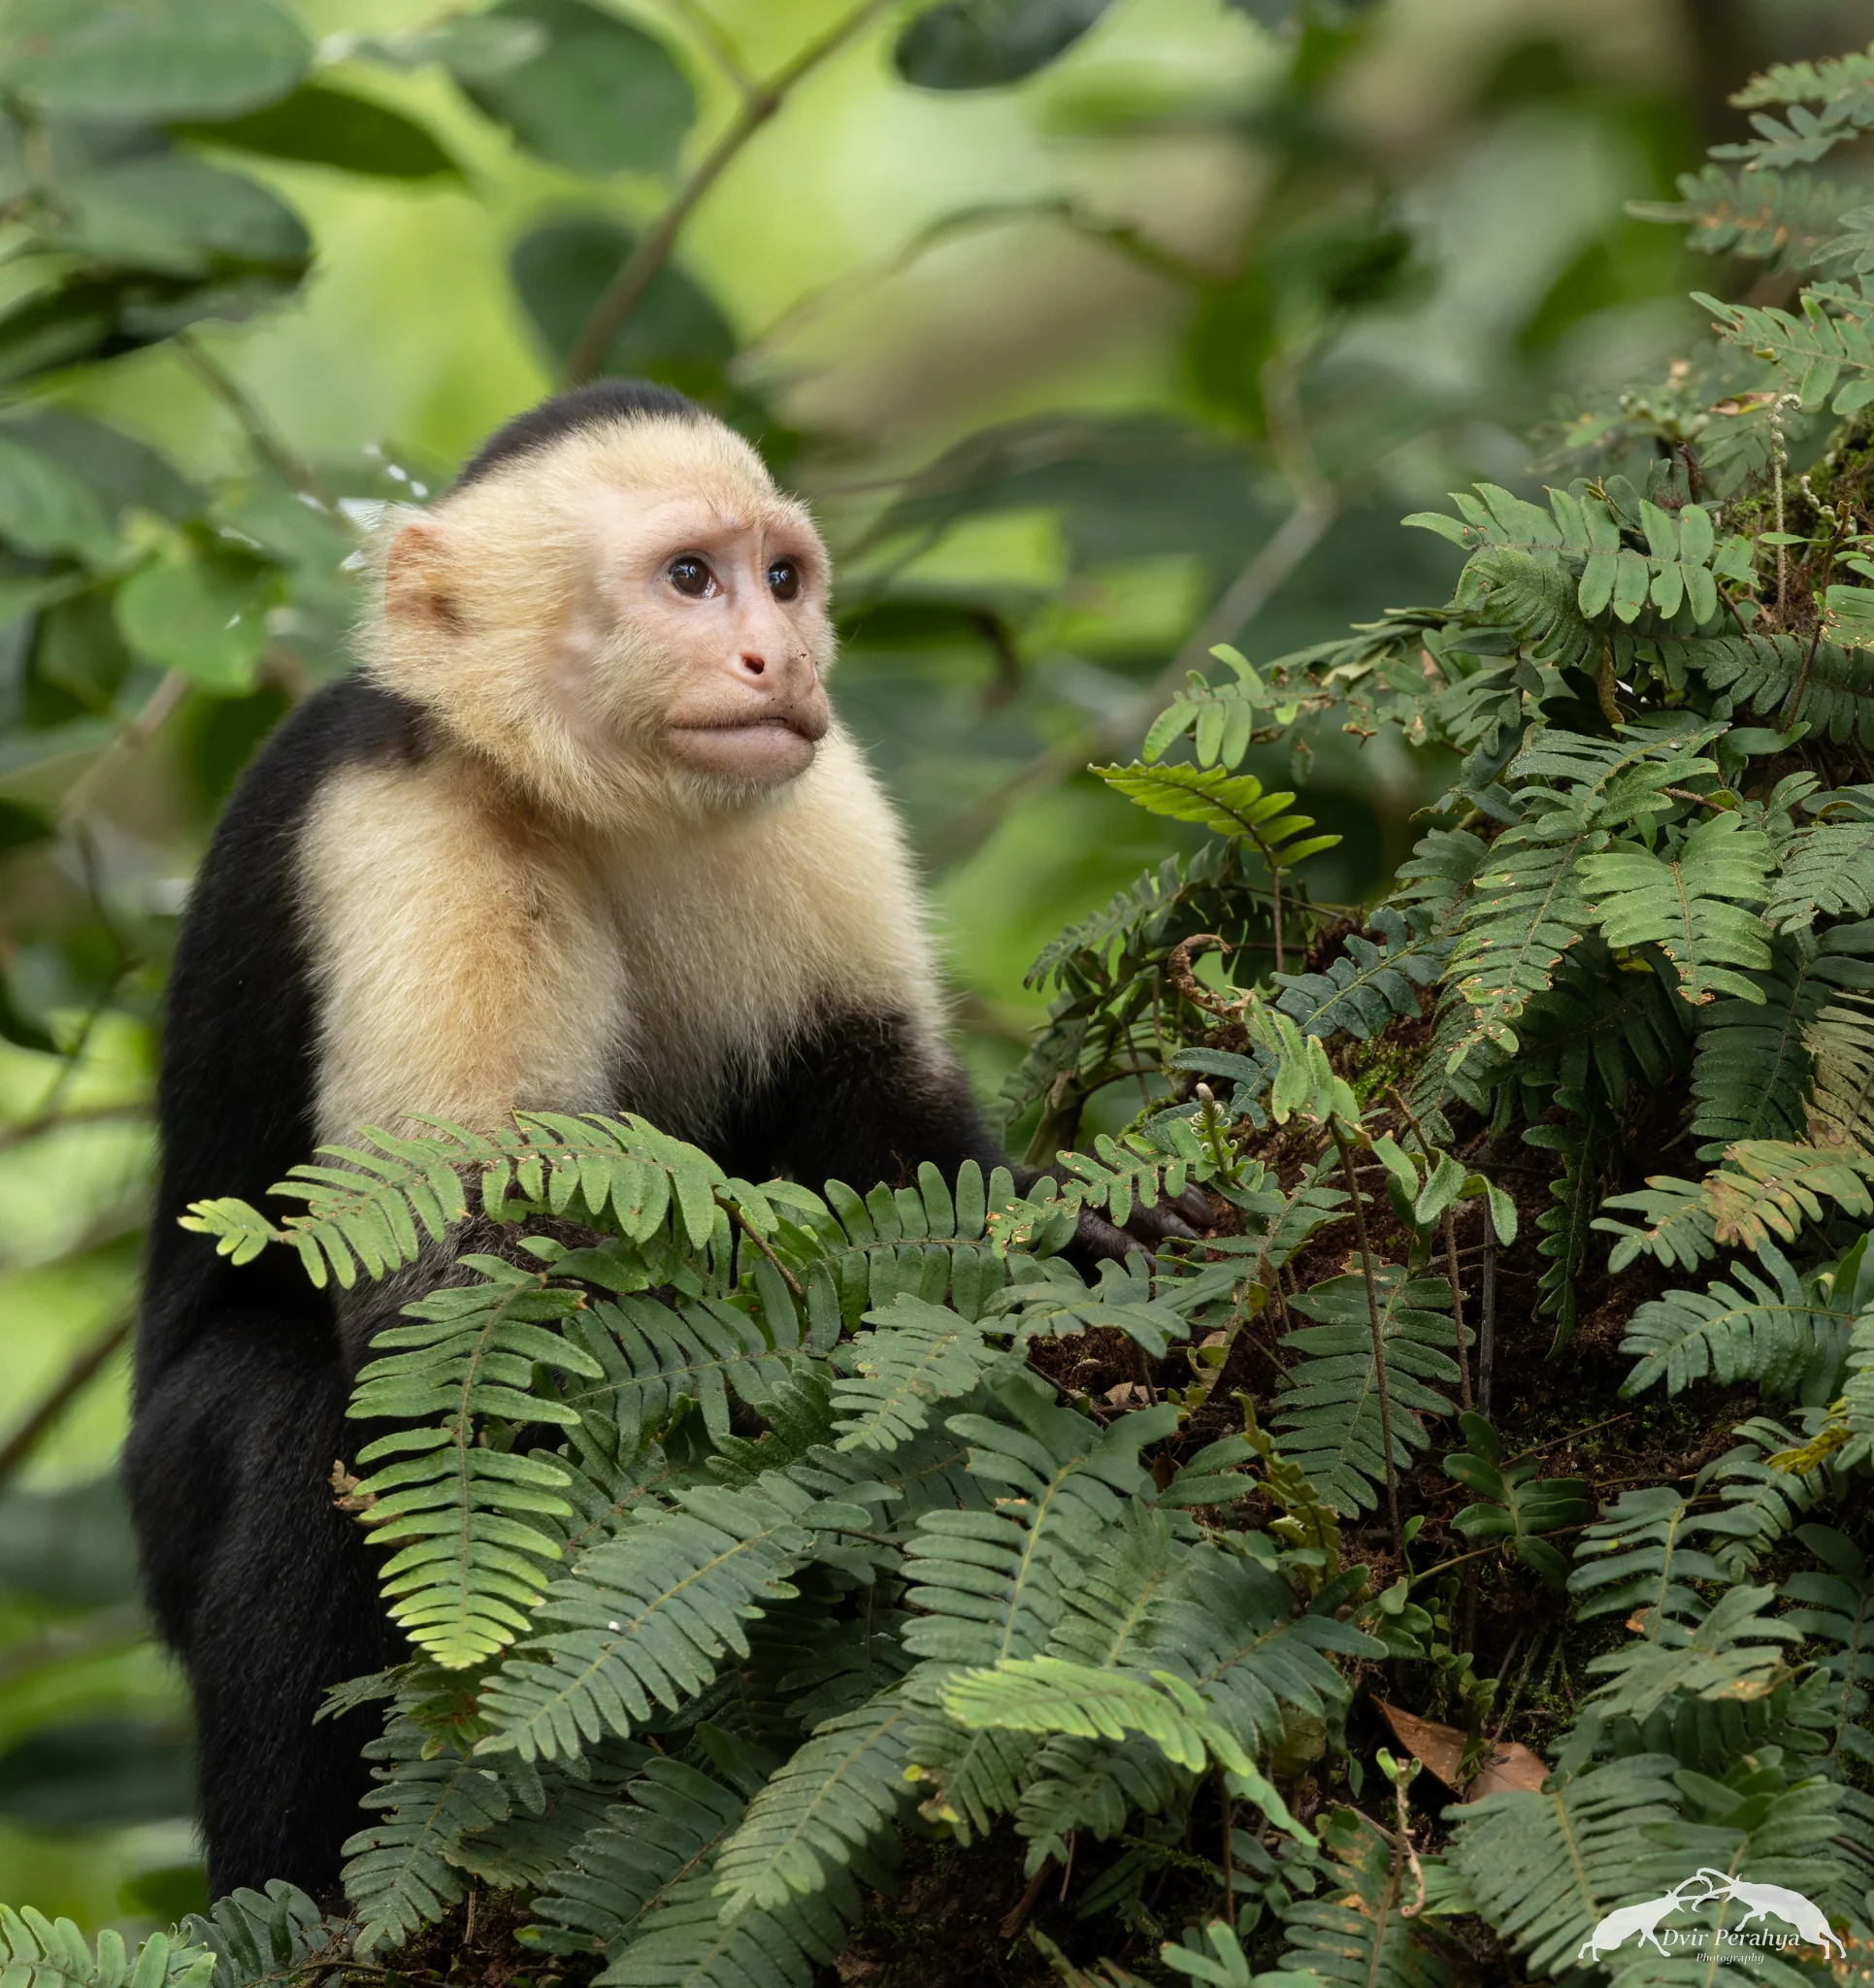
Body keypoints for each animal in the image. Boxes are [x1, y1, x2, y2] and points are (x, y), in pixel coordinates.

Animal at [125, 380, 1199, 1902]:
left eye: (781, 579)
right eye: (688, 577)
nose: (774, 654)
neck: (595, 798)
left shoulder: (822, 788)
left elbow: (869, 1109)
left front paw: (1058, 1219)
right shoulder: (399, 823)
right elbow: (462, 1297)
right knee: (305, 1427)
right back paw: (302, 1902)